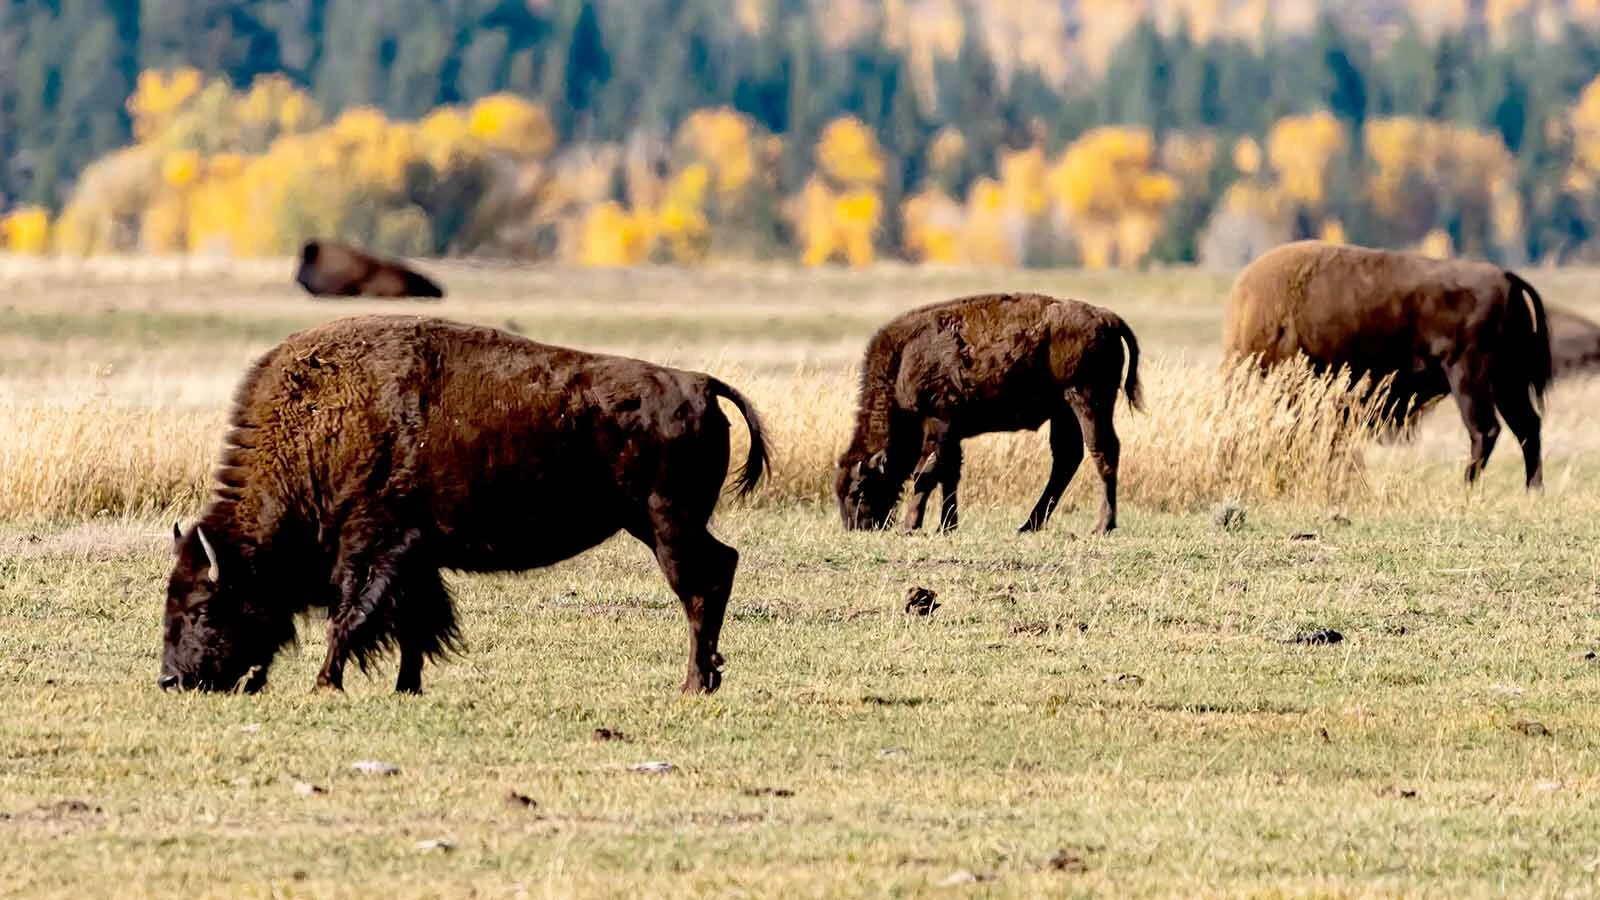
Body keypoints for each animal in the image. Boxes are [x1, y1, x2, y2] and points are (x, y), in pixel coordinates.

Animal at [162, 315, 768, 695]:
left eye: (205, 608)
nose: (171, 679)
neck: (320, 428)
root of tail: (698, 384)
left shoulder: (372, 548)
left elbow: (350, 618)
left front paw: (324, 684)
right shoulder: (414, 559)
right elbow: (415, 625)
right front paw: (406, 687)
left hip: (668, 525)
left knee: (702, 586)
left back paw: (693, 684)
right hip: (656, 524)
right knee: (721, 567)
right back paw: (705, 679)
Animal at [836, 293, 1142, 536]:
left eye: (858, 491)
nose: (856, 527)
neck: (903, 361)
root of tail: (1106, 317)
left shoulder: (938, 423)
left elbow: (927, 472)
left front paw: (912, 525)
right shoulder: (952, 433)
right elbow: (950, 474)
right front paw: (947, 526)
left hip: (1088, 402)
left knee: (1102, 451)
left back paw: (1102, 526)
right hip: (1063, 413)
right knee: (1067, 459)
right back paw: (1029, 525)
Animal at [1223, 241, 1551, 486]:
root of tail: (1505, 278)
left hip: (1470, 378)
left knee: (1486, 430)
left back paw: (1466, 486)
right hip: (1508, 382)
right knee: (1527, 426)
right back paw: (1532, 490)